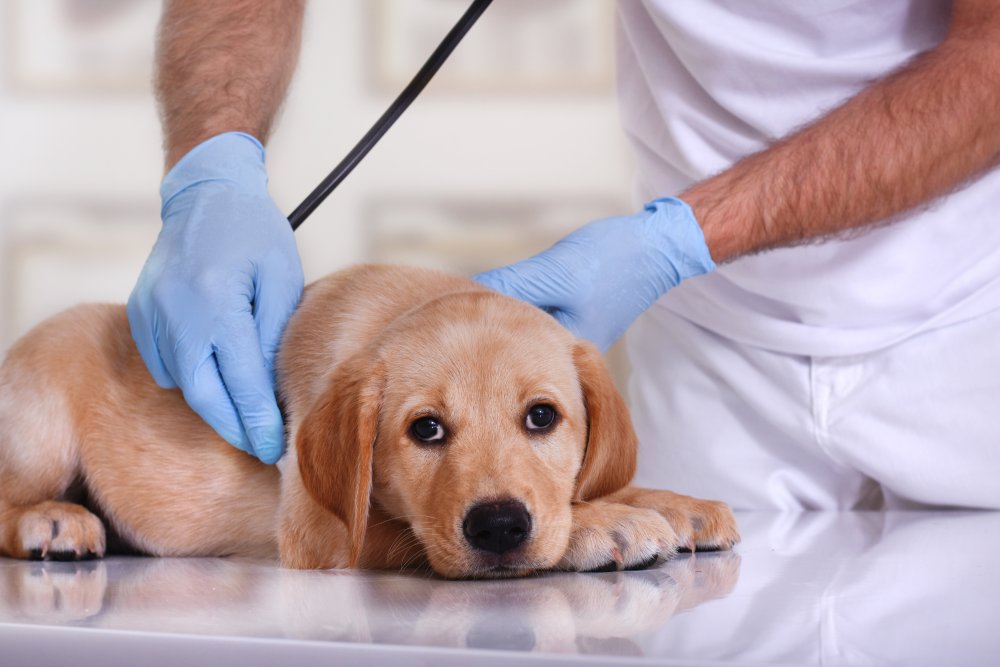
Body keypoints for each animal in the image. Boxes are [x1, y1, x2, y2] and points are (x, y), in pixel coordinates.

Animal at [0, 264, 736, 576]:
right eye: (425, 429)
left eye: (542, 416)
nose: (499, 527)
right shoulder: (318, 533)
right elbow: (407, 529)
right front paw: (604, 523)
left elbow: (596, 484)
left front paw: (673, 503)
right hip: (42, 423)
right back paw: (56, 521)